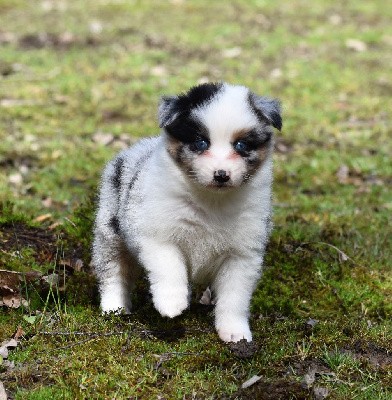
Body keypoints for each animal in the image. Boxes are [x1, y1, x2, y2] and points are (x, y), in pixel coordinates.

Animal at [92, 83, 282, 342]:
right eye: (201, 143)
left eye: (241, 145)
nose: (221, 175)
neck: (211, 201)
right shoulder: (156, 234)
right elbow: (169, 266)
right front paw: (171, 304)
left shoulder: (242, 254)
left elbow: (235, 297)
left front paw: (235, 333)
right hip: (109, 231)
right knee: (113, 270)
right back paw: (114, 307)